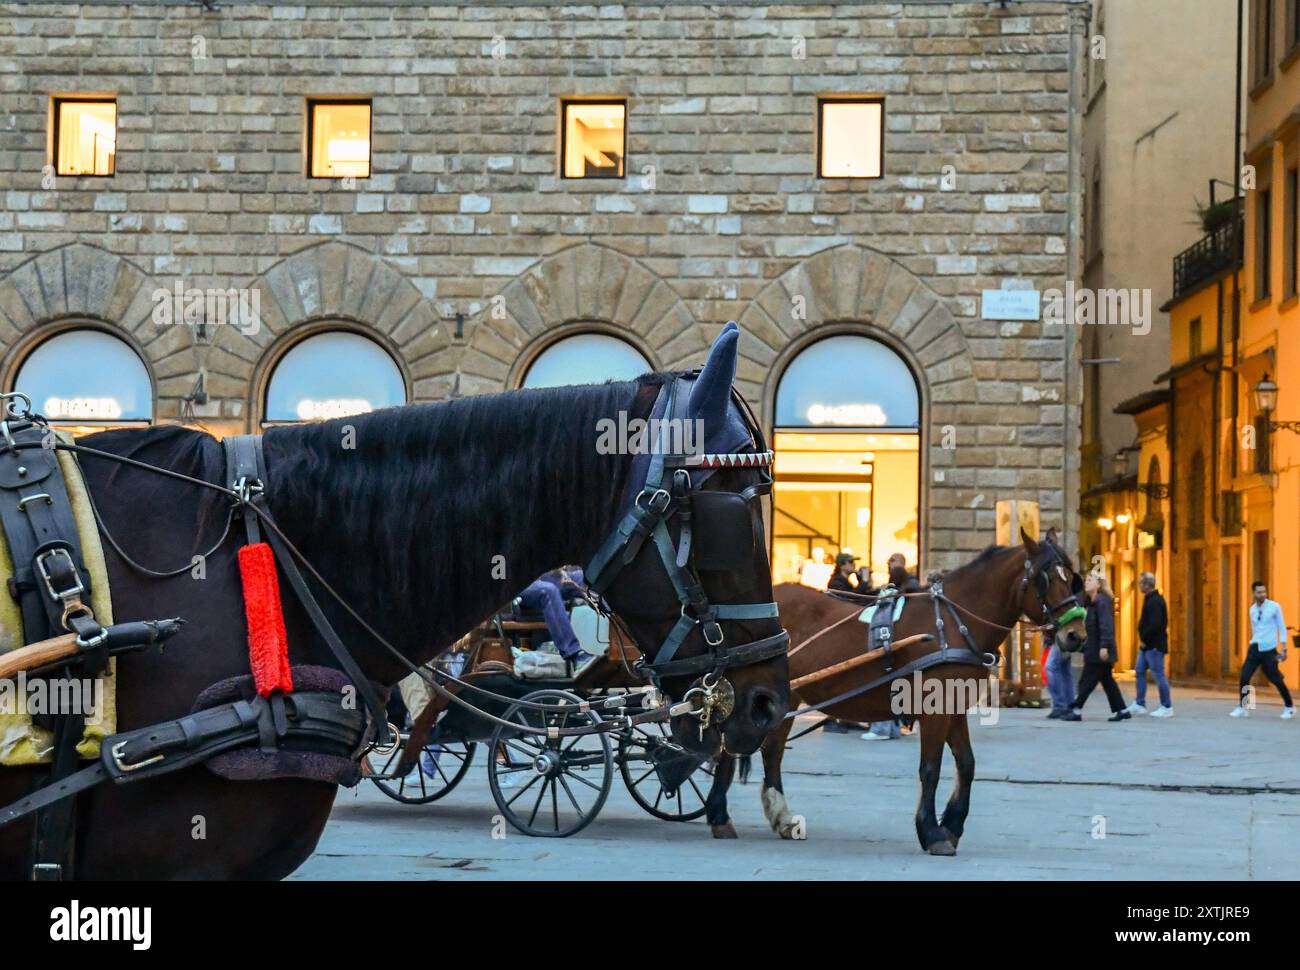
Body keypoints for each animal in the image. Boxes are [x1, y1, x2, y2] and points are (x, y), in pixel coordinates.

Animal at [702, 527, 1086, 852]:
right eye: (1044, 578)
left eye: (1072, 577)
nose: (1076, 635)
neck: (954, 624)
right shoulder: (935, 707)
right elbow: (930, 768)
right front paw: (931, 831)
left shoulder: (954, 706)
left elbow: (966, 764)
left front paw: (952, 824)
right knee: (733, 746)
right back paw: (719, 814)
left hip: (783, 696)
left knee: (770, 751)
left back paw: (779, 817)